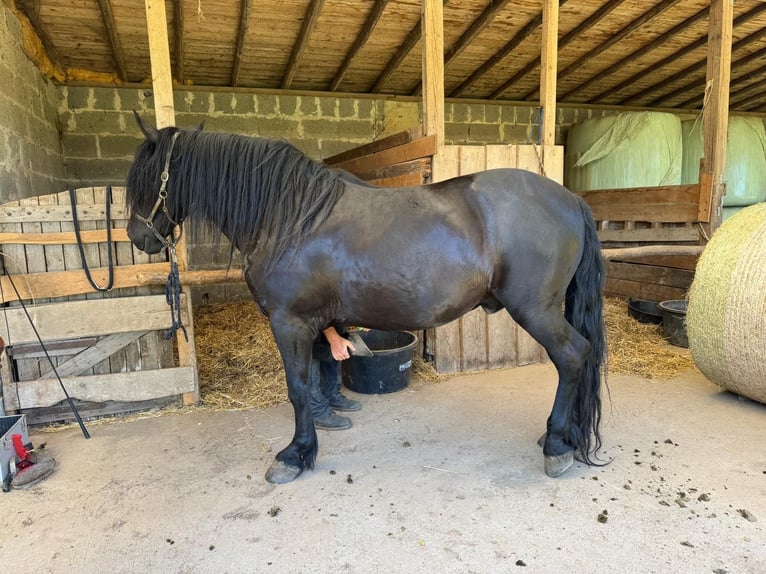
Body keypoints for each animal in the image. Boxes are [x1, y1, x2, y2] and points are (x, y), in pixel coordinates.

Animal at [126, 114, 607, 484]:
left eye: (147, 180)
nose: (137, 237)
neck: (290, 217)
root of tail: (569, 199)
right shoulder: (315, 321)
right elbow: (317, 375)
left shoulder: (289, 321)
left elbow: (297, 387)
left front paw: (295, 455)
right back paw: (563, 437)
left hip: (537, 310)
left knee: (572, 356)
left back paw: (558, 445)